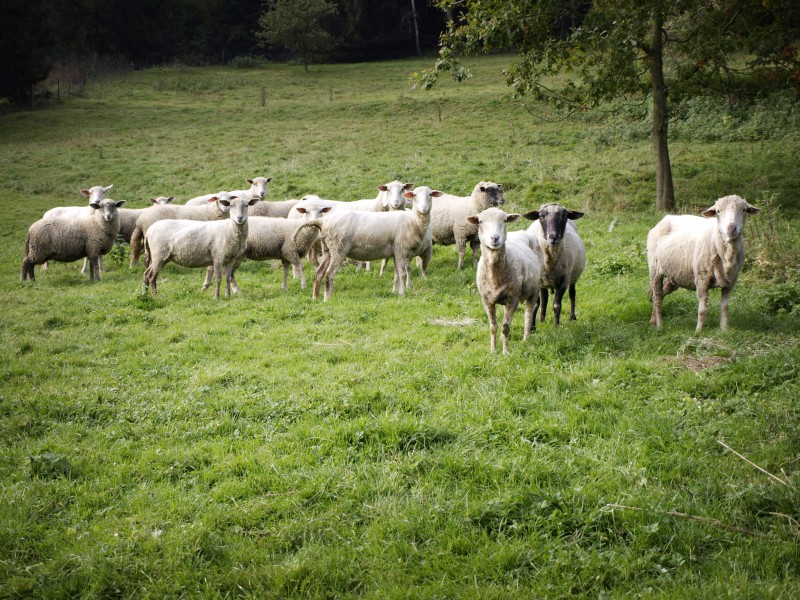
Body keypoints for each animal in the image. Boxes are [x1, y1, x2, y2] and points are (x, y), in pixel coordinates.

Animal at [294, 185, 444, 300]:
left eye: (430, 194)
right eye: (414, 195)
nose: (424, 208)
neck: (414, 221)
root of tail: (323, 221)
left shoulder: (395, 252)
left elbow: (396, 274)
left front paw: (394, 292)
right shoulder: (401, 250)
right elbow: (402, 273)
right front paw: (402, 293)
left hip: (328, 250)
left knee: (319, 272)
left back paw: (315, 297)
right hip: (338, 249)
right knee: (329, 274)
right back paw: (327, 298)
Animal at [468, 209, 544, 354]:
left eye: (504, 220)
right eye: (480, 221)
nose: (494, 238)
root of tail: (523, 232)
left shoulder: (513, 299)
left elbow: (505, 327)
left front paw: (505, 352)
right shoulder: (486, 300)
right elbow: (493, 327)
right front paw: (493, 351)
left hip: (534, 290)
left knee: (528, 315)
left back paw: (526, 339)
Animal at [648, 193, 760, 330]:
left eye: (744, 210)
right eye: (718, 211)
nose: (731, 228)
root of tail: (665, 218)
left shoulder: (730, 283)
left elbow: (725, 308)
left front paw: (724, 329)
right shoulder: (702, 279)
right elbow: (702, 309)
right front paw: (698, 331)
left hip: (674, 275)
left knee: (660, 294)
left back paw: (653, 321)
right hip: (655, 269)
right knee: (658, 296)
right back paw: (659, 325)